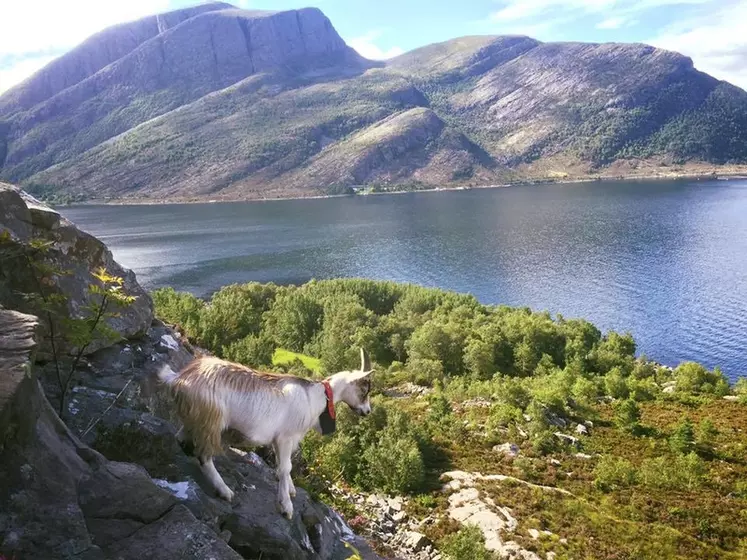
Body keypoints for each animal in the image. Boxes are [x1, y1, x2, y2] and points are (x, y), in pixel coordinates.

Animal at [159, 348, 374, 520]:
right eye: (365, 389)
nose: (367, 411)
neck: (314, 398)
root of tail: (180, 379)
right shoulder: (286, 437)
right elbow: (285, 468)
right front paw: (286, 507)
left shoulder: (282, 440)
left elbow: (283, 467)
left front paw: (291, 490)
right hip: (211, 421)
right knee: (204, 456)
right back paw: (225, 491)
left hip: (196, 418)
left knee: (181, 438)